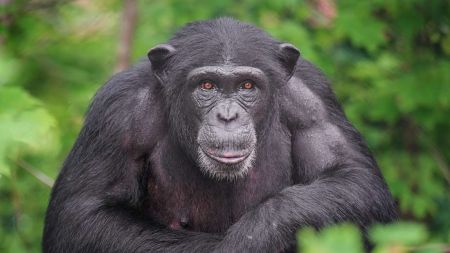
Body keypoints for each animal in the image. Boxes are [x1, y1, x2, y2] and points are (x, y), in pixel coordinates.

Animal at [41, 18, 394, 253]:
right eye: (207, 86)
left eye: (247, 86)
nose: (227, 115)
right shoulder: (118, 112)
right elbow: (85, 215)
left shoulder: (312, 98)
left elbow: (354, 179)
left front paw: (256, 235)